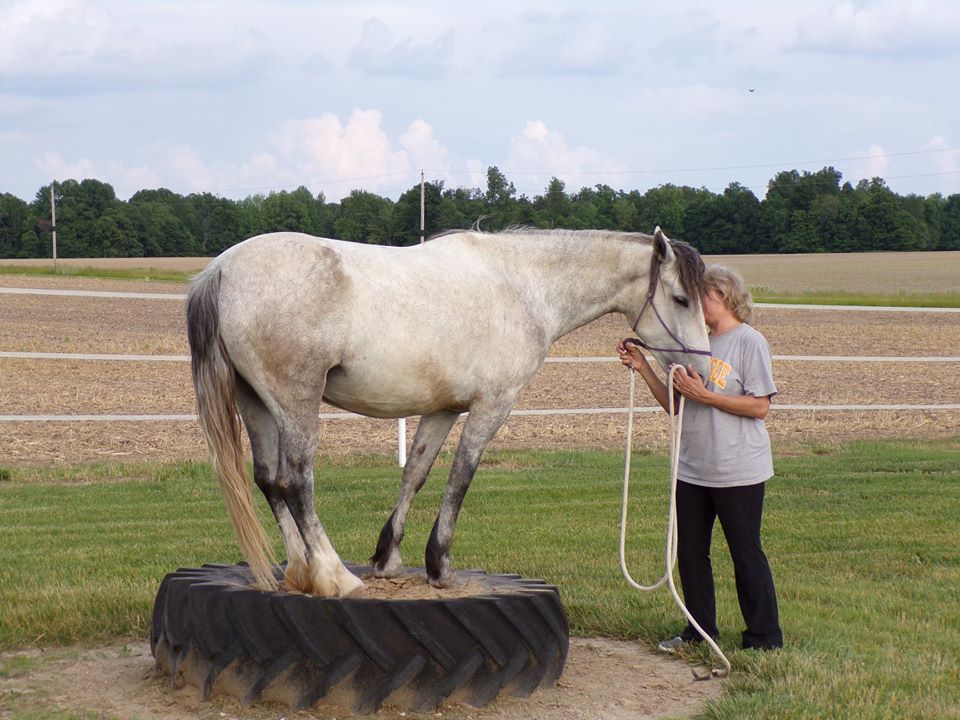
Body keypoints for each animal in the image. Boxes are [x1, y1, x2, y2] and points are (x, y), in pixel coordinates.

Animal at [188, 226, 712, 596]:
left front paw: (388, 558)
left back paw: (301, 570)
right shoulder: (492, 405)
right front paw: (439, 565)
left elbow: (416, 473)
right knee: (296, 481)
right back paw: (334, 576)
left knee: (268, 480)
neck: (524, 287)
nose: (701, 373)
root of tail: (222, 269)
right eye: (681, 298)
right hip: (296, 401)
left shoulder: (441, 410)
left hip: (256, 402)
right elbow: (462, 474)